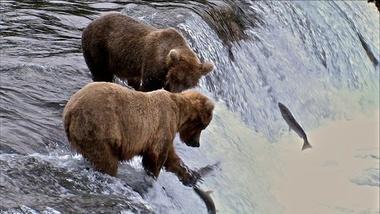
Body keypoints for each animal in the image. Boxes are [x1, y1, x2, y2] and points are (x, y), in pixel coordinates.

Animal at [63, 82, 215, 186]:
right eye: (203, 126)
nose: (196, 144)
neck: (179, 112)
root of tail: (69, 111)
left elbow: (171, 157)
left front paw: (190, 175)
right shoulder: (164, 123)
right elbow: (157, 155)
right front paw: (153, 176)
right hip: (99, 128)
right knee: (106, 161)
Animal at [82, 12, 214, 92]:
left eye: (188, 84)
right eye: (176, 78)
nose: (175, 91)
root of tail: (90, 23)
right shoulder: (154, 64)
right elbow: (149, 86)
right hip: (98, 48)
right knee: (101, 73)